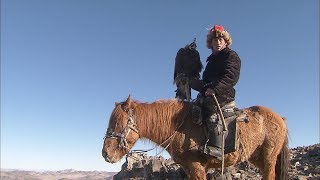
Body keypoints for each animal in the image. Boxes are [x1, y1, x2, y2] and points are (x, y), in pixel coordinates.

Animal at [102, 95, 290, 179]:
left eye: (118, 122)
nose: (106, 154)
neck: (179, 126)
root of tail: (280, 118)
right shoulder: (188, 168)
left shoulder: (196, 166)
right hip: (257, 158)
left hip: (269, 157)